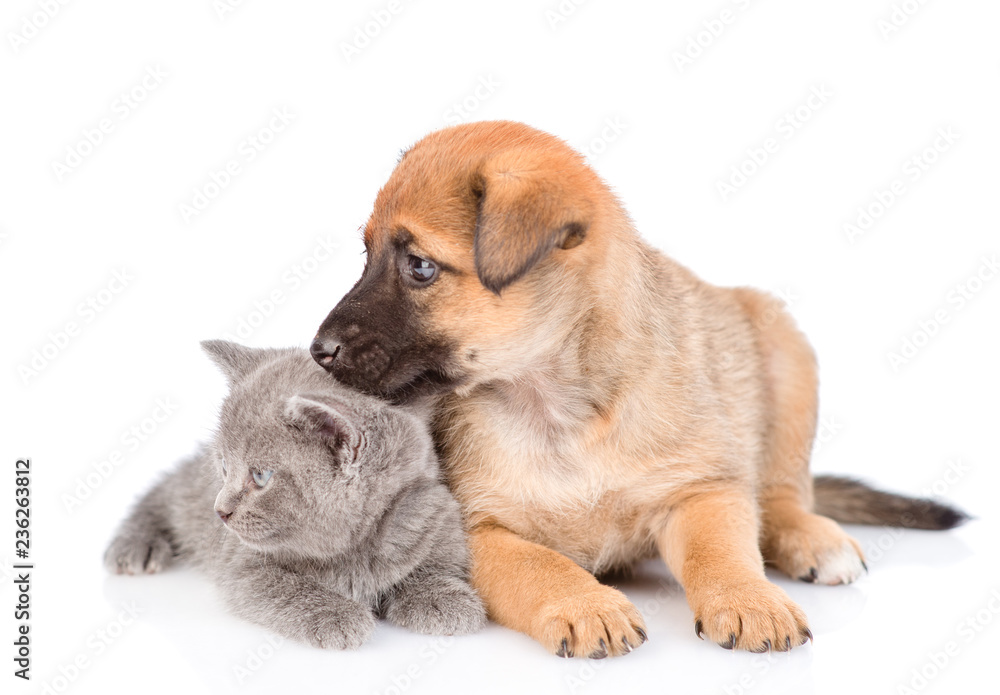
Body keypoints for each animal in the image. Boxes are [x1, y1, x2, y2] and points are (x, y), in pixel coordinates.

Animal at [103, 340, 486, 648]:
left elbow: (432, 566)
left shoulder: (434, 511)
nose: (221, 511)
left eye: (261, 476)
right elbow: (286, 588)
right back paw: (135, 545)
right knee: (167, 490)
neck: (351, 549)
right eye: (225, 466)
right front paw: (336, 614)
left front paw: (443, 599)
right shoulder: (243, 566)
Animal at [312, 119, 968, 656]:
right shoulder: (470, 529)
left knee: (781, 492)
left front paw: (749, 598)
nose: (319, 352)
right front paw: (585, 603)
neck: (561, 410)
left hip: (785, 354)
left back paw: (810, 538)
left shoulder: (700, 489)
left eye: (419, 266)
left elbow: (721, 549)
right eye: (366, 255)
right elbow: (538, 564)